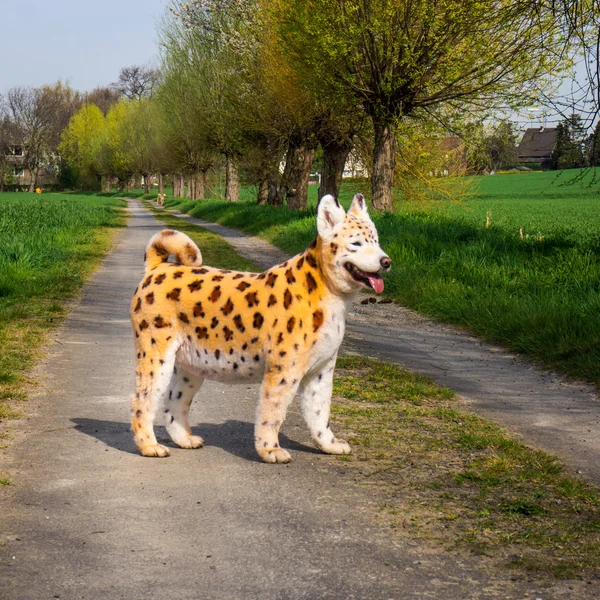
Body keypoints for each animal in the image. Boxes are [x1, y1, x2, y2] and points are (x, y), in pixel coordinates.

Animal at [131, 195, 392, 462]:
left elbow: (320, 413)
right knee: (142, 400)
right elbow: (272, 412)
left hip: (190, 368)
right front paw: (270, 449)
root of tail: (159, 269)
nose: (386, 261)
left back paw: (185, 440)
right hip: (155, 356)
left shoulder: (322, 370)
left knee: (174, 401)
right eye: (356, 243)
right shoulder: (284, 368)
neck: (333, 298)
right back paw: (150, 446)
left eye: (376, 240)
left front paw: (329, 445)